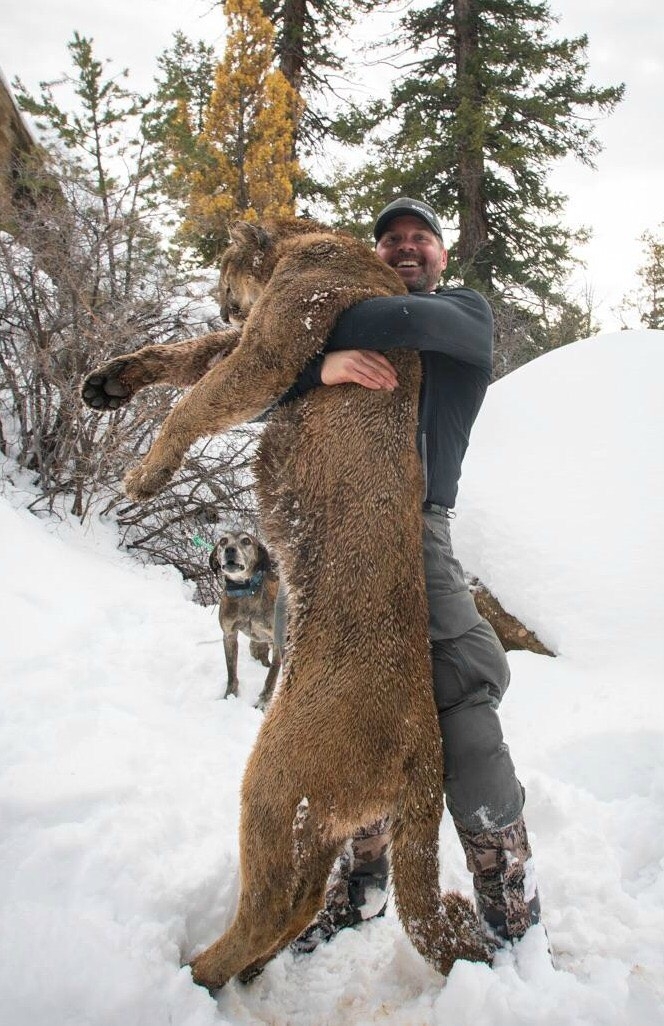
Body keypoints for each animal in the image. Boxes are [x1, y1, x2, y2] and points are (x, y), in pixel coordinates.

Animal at [207, 529, 281, 705]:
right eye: (223, 541)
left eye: (246, 541)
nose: (230, 550)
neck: (246, 590)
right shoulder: (229, 635)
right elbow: (231, 672)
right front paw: (230, 696)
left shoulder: (277, 639)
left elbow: (272, 675)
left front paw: (263, 702)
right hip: (256, 646)